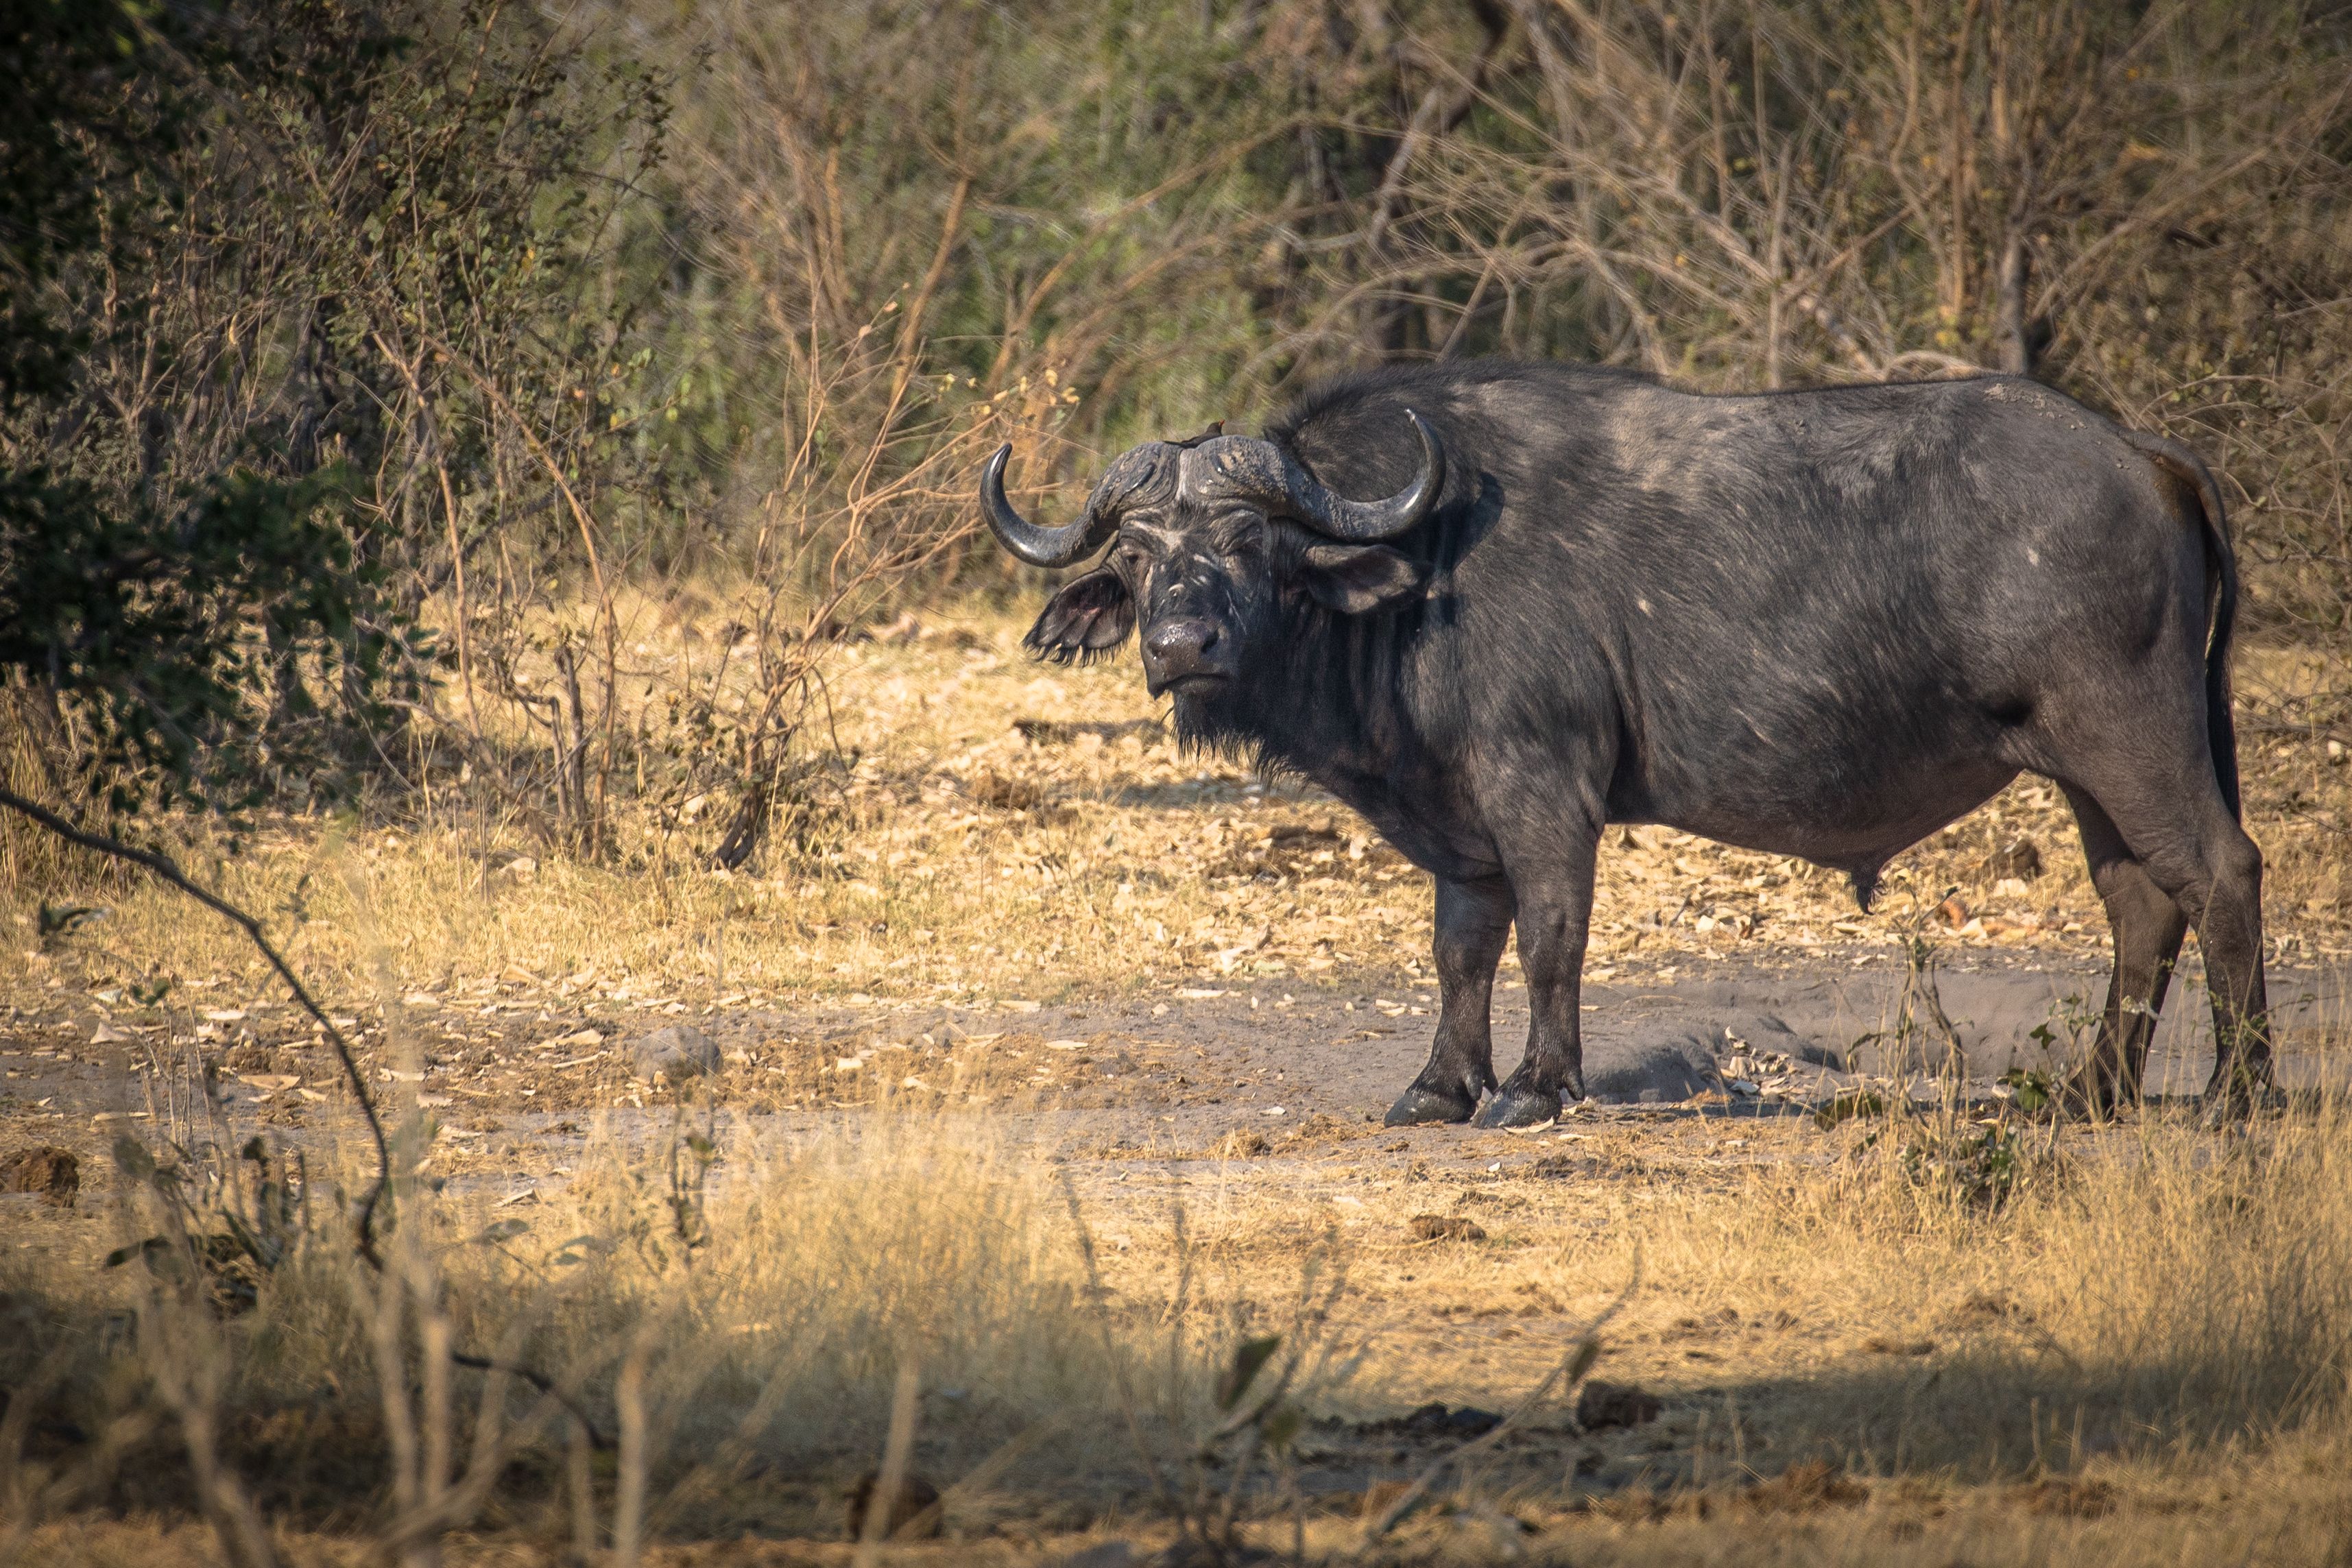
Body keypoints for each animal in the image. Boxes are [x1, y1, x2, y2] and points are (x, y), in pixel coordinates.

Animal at [978, 364, 2257, 1128]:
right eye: (1136, 553)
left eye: (1248, 540)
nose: (1179, 645)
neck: (1422, 571)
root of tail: (2144, 451)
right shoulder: (1461, 828)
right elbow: (1459, 949)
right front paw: (1441, 1086)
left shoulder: (1543, 789)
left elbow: (1551, 935)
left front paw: (1536, 1088)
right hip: (2082, 766)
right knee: (2141, 900)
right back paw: (2090, 1091)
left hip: (2128, 732)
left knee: (2221, 872)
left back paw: (2237, 1092)